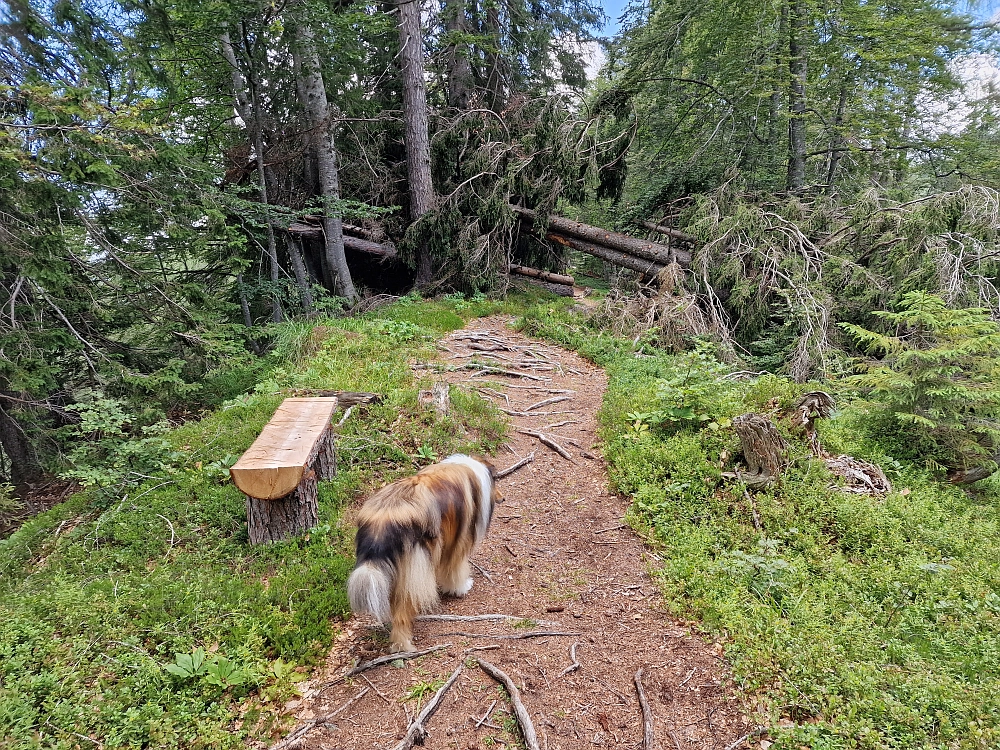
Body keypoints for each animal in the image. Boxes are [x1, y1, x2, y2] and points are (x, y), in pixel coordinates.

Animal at [348, 456, 500, 656]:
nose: (502, 498)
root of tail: (383, 521)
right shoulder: (459, 543)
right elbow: (456, 569)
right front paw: (461, 587)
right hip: (415, 566)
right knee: (402, 613)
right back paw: (402, 645)